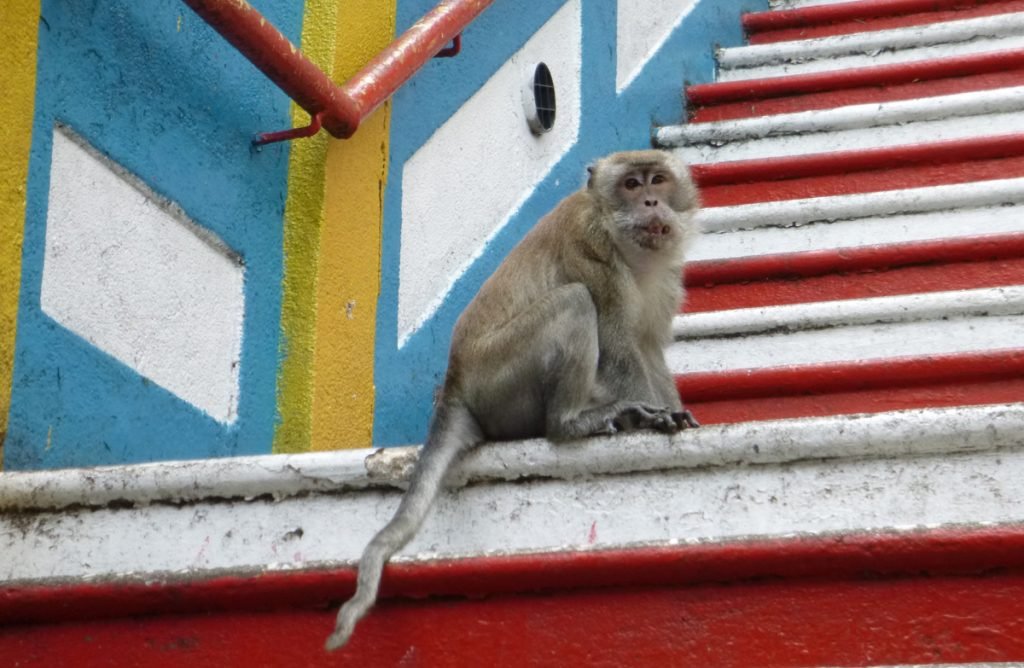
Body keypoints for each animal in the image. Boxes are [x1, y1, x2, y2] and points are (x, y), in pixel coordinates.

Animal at [323, 149, 700, 651]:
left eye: (658, 179)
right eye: (631, 185)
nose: (653, 202)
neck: (629, 250)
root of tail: (456, 383)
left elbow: (648, 349)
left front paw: (676, 413)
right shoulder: (590, 248)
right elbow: (620, 348)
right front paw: (654, 422)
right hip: (502, 380)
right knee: (574, 302)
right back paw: (571, 423)